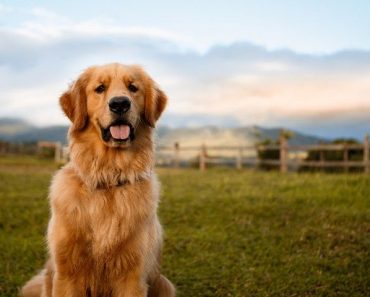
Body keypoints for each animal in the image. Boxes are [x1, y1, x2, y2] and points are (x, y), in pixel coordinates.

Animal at [21, 63, 175, 296]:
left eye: (133, 87)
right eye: (100, 88)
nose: (119, 104)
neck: (109, 177)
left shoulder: (133, 275)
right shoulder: (67, 273)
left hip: (163, 283)